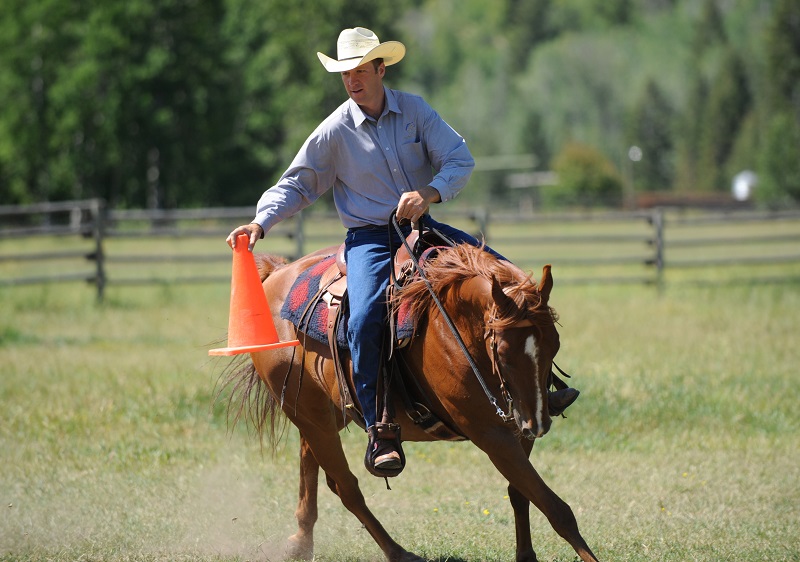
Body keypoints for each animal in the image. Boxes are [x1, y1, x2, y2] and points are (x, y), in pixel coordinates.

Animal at [219, 241, 600, 562]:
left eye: (554, 344)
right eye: (503, 352)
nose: (538, 423)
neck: (453, 326)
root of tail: (277, 275)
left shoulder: (516, 430)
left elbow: (522, 493)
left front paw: (526, 556)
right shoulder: (491, 433)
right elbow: (555, 508)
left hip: (323, 413)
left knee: (311, 465)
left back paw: (300, 541)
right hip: (308, 414)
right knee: (346, 486)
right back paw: (398, 552)